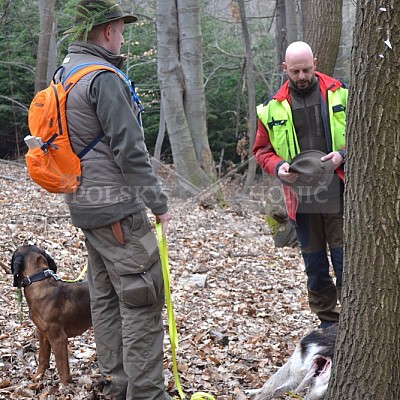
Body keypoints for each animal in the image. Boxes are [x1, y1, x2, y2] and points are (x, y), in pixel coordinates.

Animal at [11, 244, 93, 384]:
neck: (39, 281)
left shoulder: (58, 338)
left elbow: (62, 366)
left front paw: (64, 386)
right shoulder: (43, 334)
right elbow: (42, 359)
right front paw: (37, 378)